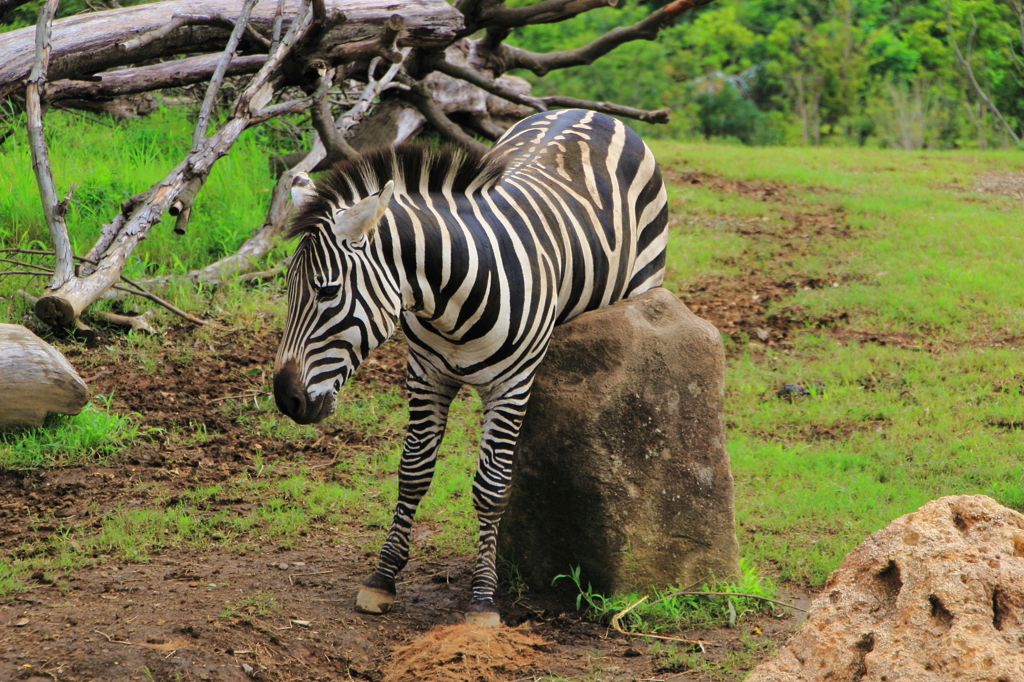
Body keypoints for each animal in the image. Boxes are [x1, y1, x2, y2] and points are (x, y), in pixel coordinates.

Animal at [276, 109, 667, 622]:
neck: (449, 300)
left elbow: (491, 487)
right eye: (287, 289)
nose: (285, 398)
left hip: (644, 283)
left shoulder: (511, 386)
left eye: (326, 291)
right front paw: (383, 578)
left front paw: (483, 597)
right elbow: (413, 472)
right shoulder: (426, 377)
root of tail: (590, 111)